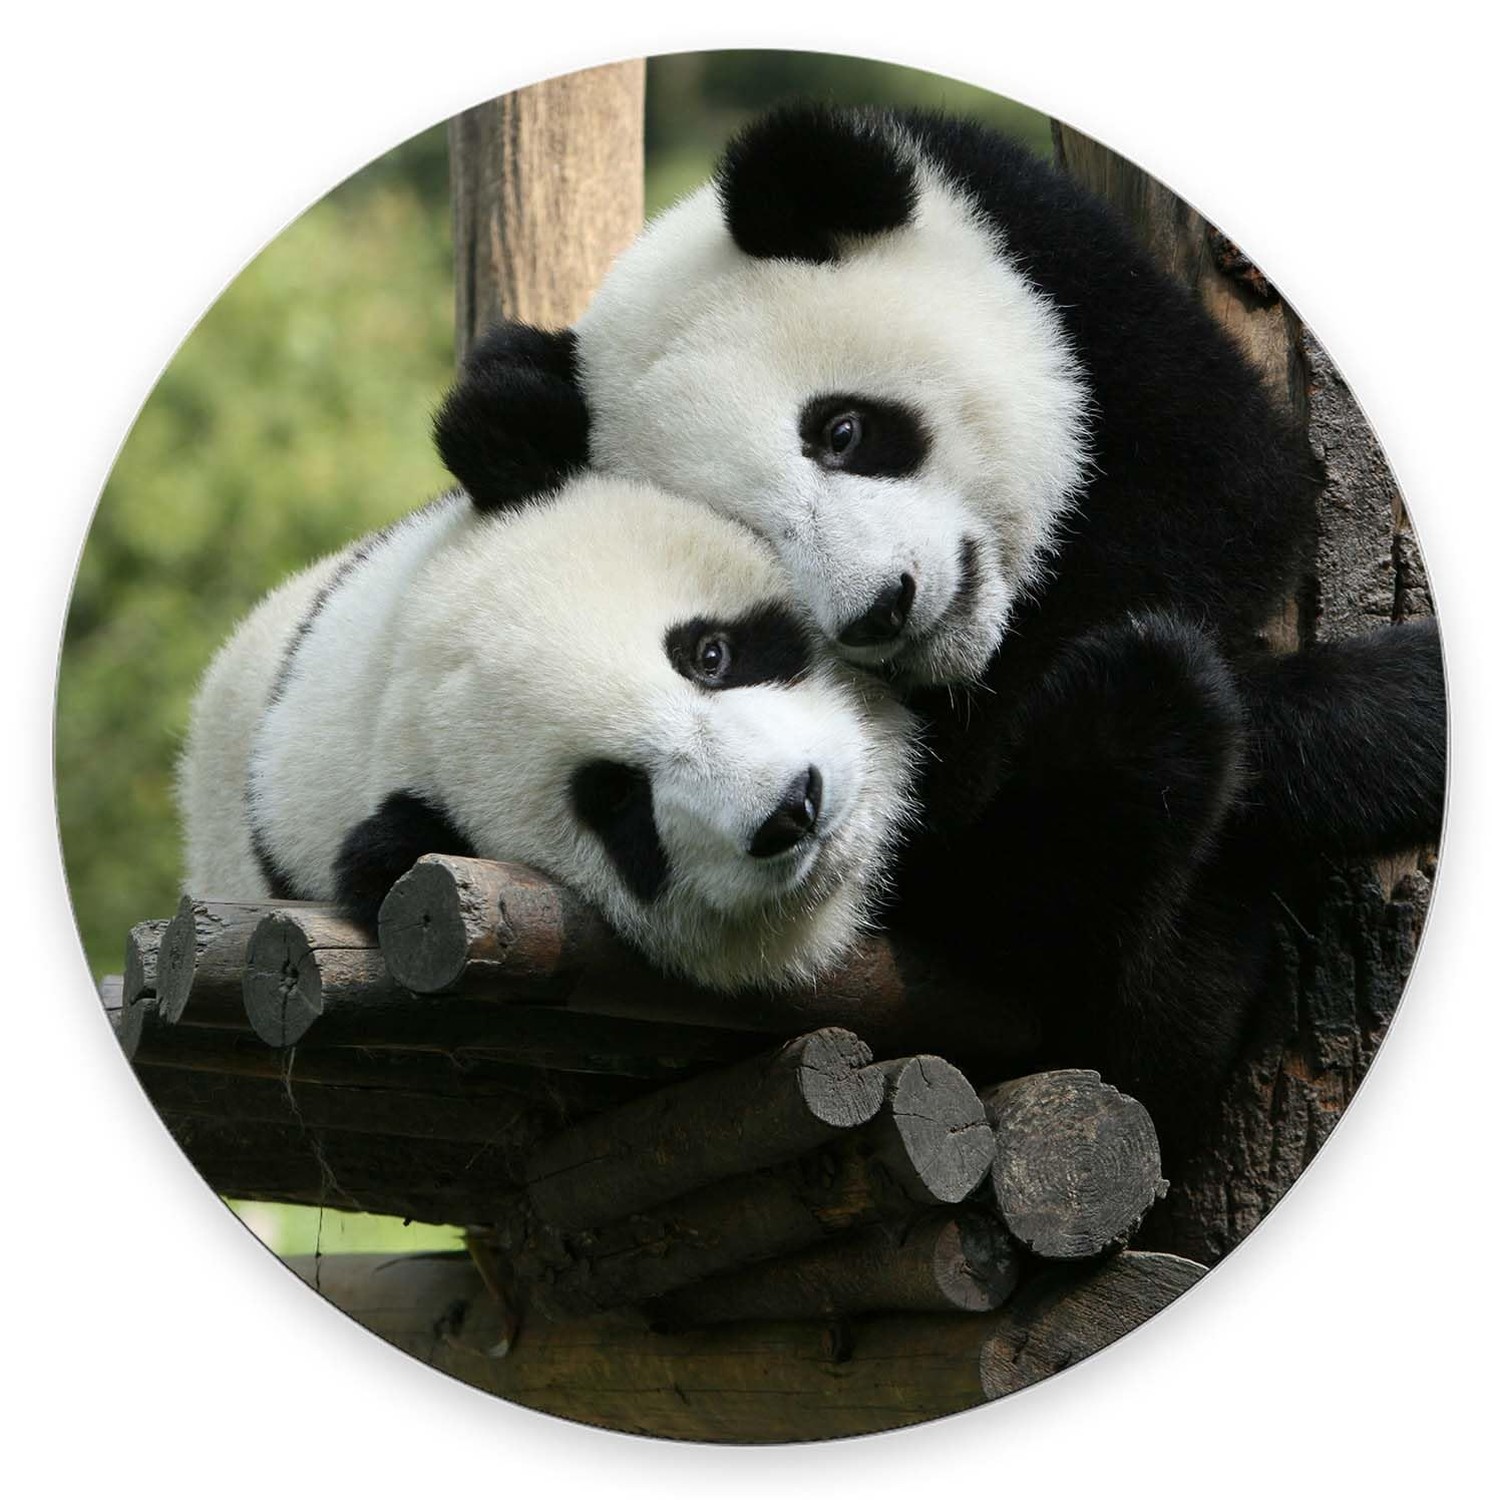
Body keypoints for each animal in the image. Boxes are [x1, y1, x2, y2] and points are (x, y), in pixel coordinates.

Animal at [432, 103, 1447, 1157]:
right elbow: (973, 851)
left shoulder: (1070, 283)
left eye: (841, 430)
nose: (881, 608)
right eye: (751, 536)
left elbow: (1228, 498)